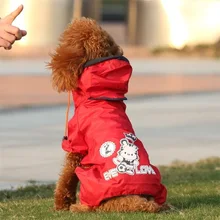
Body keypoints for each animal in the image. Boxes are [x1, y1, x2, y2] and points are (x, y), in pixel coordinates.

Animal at [48, 17, 168, 213]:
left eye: (67, 39)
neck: (100, 92)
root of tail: (138, 201)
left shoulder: (76, 145)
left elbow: (67, 176)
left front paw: (61, 204)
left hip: (90, 177)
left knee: (94, 206)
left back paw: (79, 207)